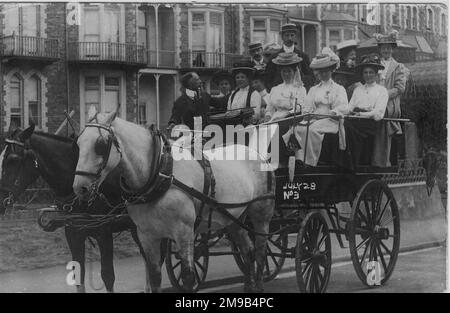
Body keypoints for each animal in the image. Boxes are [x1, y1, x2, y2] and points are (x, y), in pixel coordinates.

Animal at [0, 123, 147, 290]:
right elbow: (79, 275)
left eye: (12, 159)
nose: (0, 200)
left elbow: (108, 276)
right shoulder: (73, 234)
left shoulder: (104, 234)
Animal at [72, 108, 276, 292]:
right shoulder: (147, 235)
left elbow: (188, 276)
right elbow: (154, 276)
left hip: (260, 214)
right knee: (247, 250)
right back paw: (248, 286)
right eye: (78, 143)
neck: (159, 173)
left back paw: (259, 285)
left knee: (260, 249)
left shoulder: (183, 232)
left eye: (100, 144)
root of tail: (256, 152)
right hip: (234, 218)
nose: (80, 187)